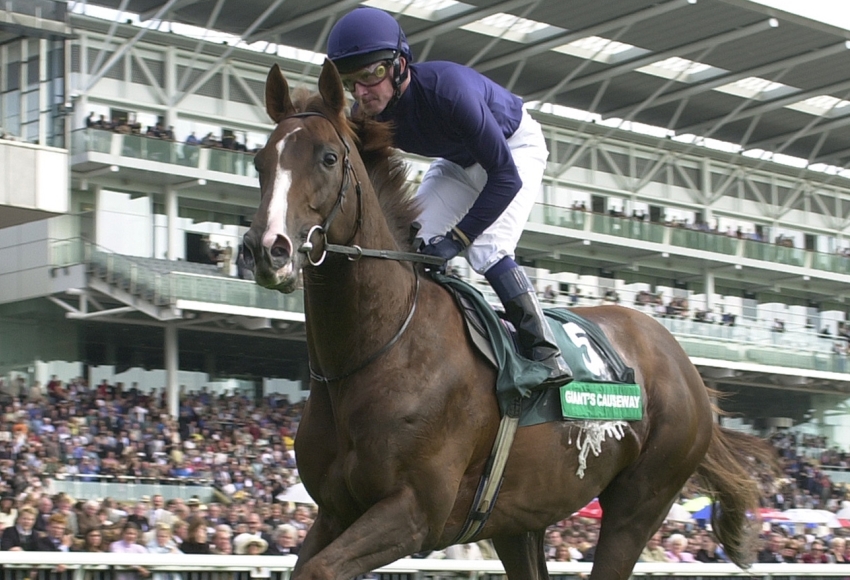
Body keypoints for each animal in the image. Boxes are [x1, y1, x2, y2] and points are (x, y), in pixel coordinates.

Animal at [240, 60, 776, 580]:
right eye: (260, 161)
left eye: (328, 157)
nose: (268, 249)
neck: (383, 349)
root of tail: (683, 364)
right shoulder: (335, 511)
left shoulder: (415, 512)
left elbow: (321, 570)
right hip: (519, 517)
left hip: (640, 501)